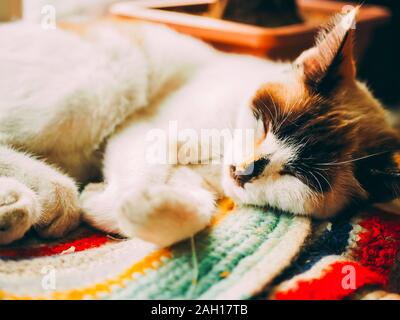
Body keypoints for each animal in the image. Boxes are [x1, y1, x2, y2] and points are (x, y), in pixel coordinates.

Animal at [0, 9, 400, 245]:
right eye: (268, 122)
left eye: (300, 176)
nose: (244, 171)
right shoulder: (143, 130)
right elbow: (148, 171)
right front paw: (107, 199)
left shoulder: (194, 180)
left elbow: (197, 212)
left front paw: (121, 207)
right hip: (104, 85)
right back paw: (40, 201)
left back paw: (19, 209)